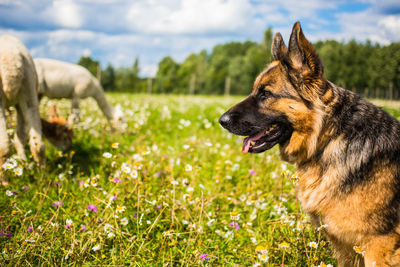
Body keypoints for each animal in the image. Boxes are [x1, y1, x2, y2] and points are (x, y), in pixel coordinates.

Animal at [0, 34, 46, 179]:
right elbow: (20, 137)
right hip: (29, 90)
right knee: (38, 144)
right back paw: (41, 176)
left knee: (4, 144)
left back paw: (5, 181)